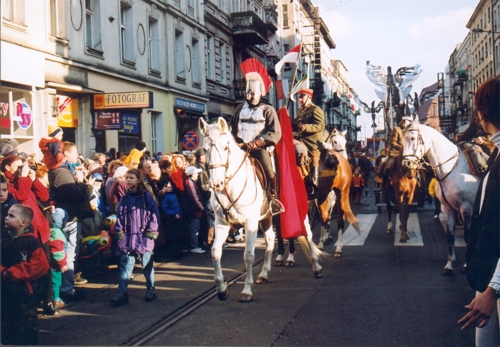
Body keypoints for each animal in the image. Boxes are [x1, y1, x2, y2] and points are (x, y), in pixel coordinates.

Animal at [199, 118, 324, 304]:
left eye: (225, 147)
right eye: (205, 149)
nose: (216, 183)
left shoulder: (250, 223)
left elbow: (248, 255)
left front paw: (246, 291)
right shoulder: (221, 223)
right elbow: (215, 252)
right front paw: (222, 290)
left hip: (299, 211)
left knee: (307, 234)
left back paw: (316, 268)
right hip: (267, 217)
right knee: (271, 239)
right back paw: (264, 273)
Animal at [400, 118, 478, 276]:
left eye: (412, 138)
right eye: (402, 142)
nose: (406, 166)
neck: (452, 168)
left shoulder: (467, 209)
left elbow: (467, 236)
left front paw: (466, 265)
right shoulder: (447, 208)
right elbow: (450, 235)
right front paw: (449, 265)